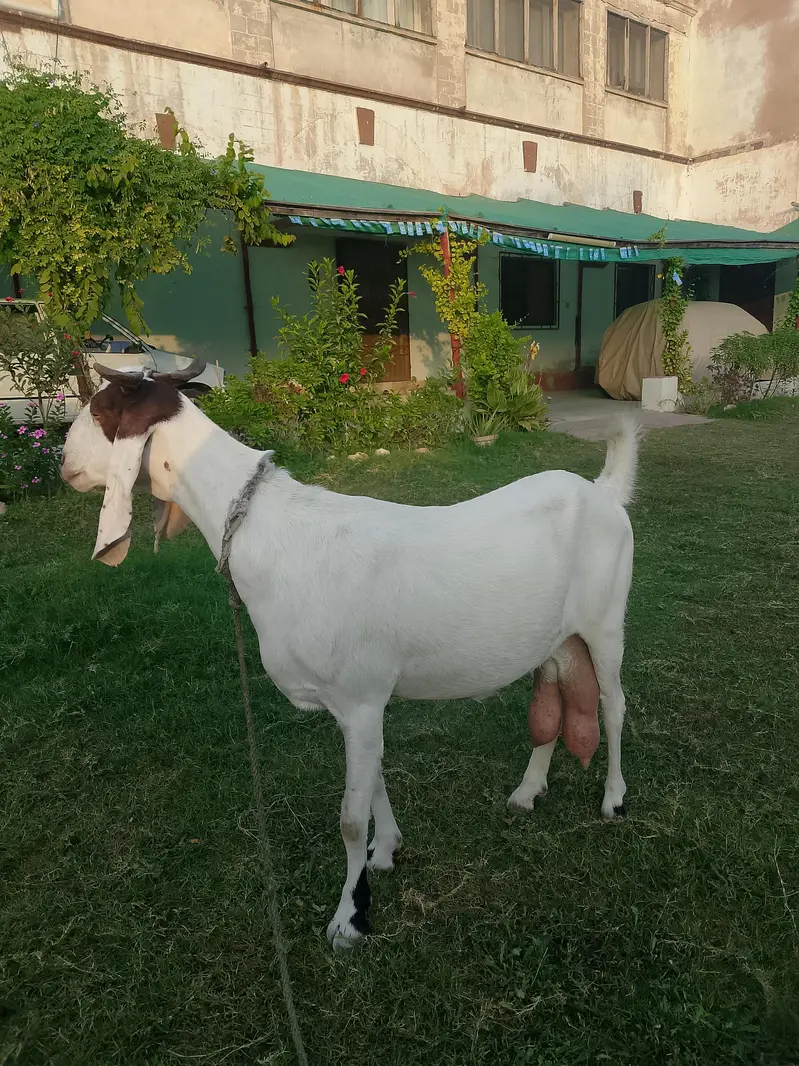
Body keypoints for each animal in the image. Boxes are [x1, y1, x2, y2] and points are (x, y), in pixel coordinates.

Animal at [61, 361, 638, 950]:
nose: (63, 464)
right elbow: (375, 778)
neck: (269, 531)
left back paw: (613, 799)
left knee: (613, 706)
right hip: (555, 638)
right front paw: (385, 851)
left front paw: (350, 916)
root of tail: (605, 492)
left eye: (101, 409)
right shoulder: (358, 705)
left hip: (606, 623)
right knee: (551, 703)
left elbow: (349, 818)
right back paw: (527, 791)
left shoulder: (360, 698)